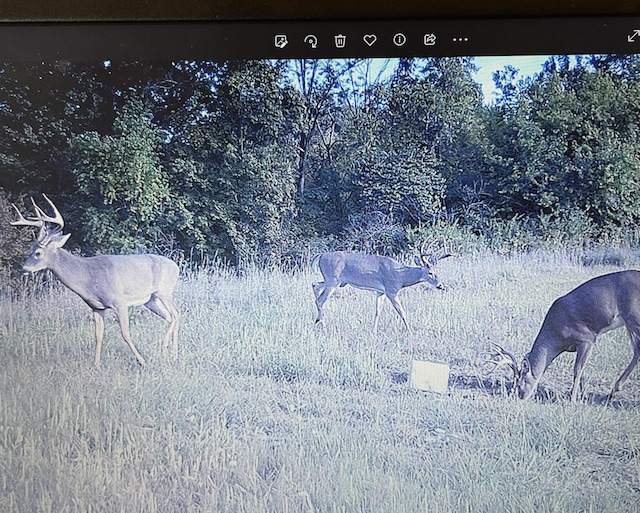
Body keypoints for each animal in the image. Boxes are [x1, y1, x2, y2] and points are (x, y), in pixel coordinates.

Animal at [11, 194, 180, 366]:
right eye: (30, 249)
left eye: (38, 252)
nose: (24, 269)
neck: (88, 277)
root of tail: (176, 267)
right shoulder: (96, 307)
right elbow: (98, 336)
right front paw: (96, 365)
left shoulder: (119, 301)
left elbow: (125, 333)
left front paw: (142, 361)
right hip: (151, 300)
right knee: (170, 317)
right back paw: (173, 354)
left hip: (163, 291)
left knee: (176, 314)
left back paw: (165, 345)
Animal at [312, 244, 452, 332]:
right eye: (430, 273)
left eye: (437, 271)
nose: (440, 286)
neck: (401, 276)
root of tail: (321, 255)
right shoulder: (391, 291)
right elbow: (402, 312)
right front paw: (410, 331)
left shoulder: (380, 292)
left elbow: (377, 311)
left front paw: (373, 331)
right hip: (333, 280)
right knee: (320, 300)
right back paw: (322, 325)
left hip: (335, 281)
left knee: (315, 286)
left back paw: (317, 320)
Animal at [488, 270, 640, 402]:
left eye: (520, 383)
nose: (520, 397)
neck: (556, 335)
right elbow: (582, 371)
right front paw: (582, 396)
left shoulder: (587, 338)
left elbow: (577, 369)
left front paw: (572, 399)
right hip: (629, 322)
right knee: (637, 350)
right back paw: (613, 391)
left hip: (633, 317)